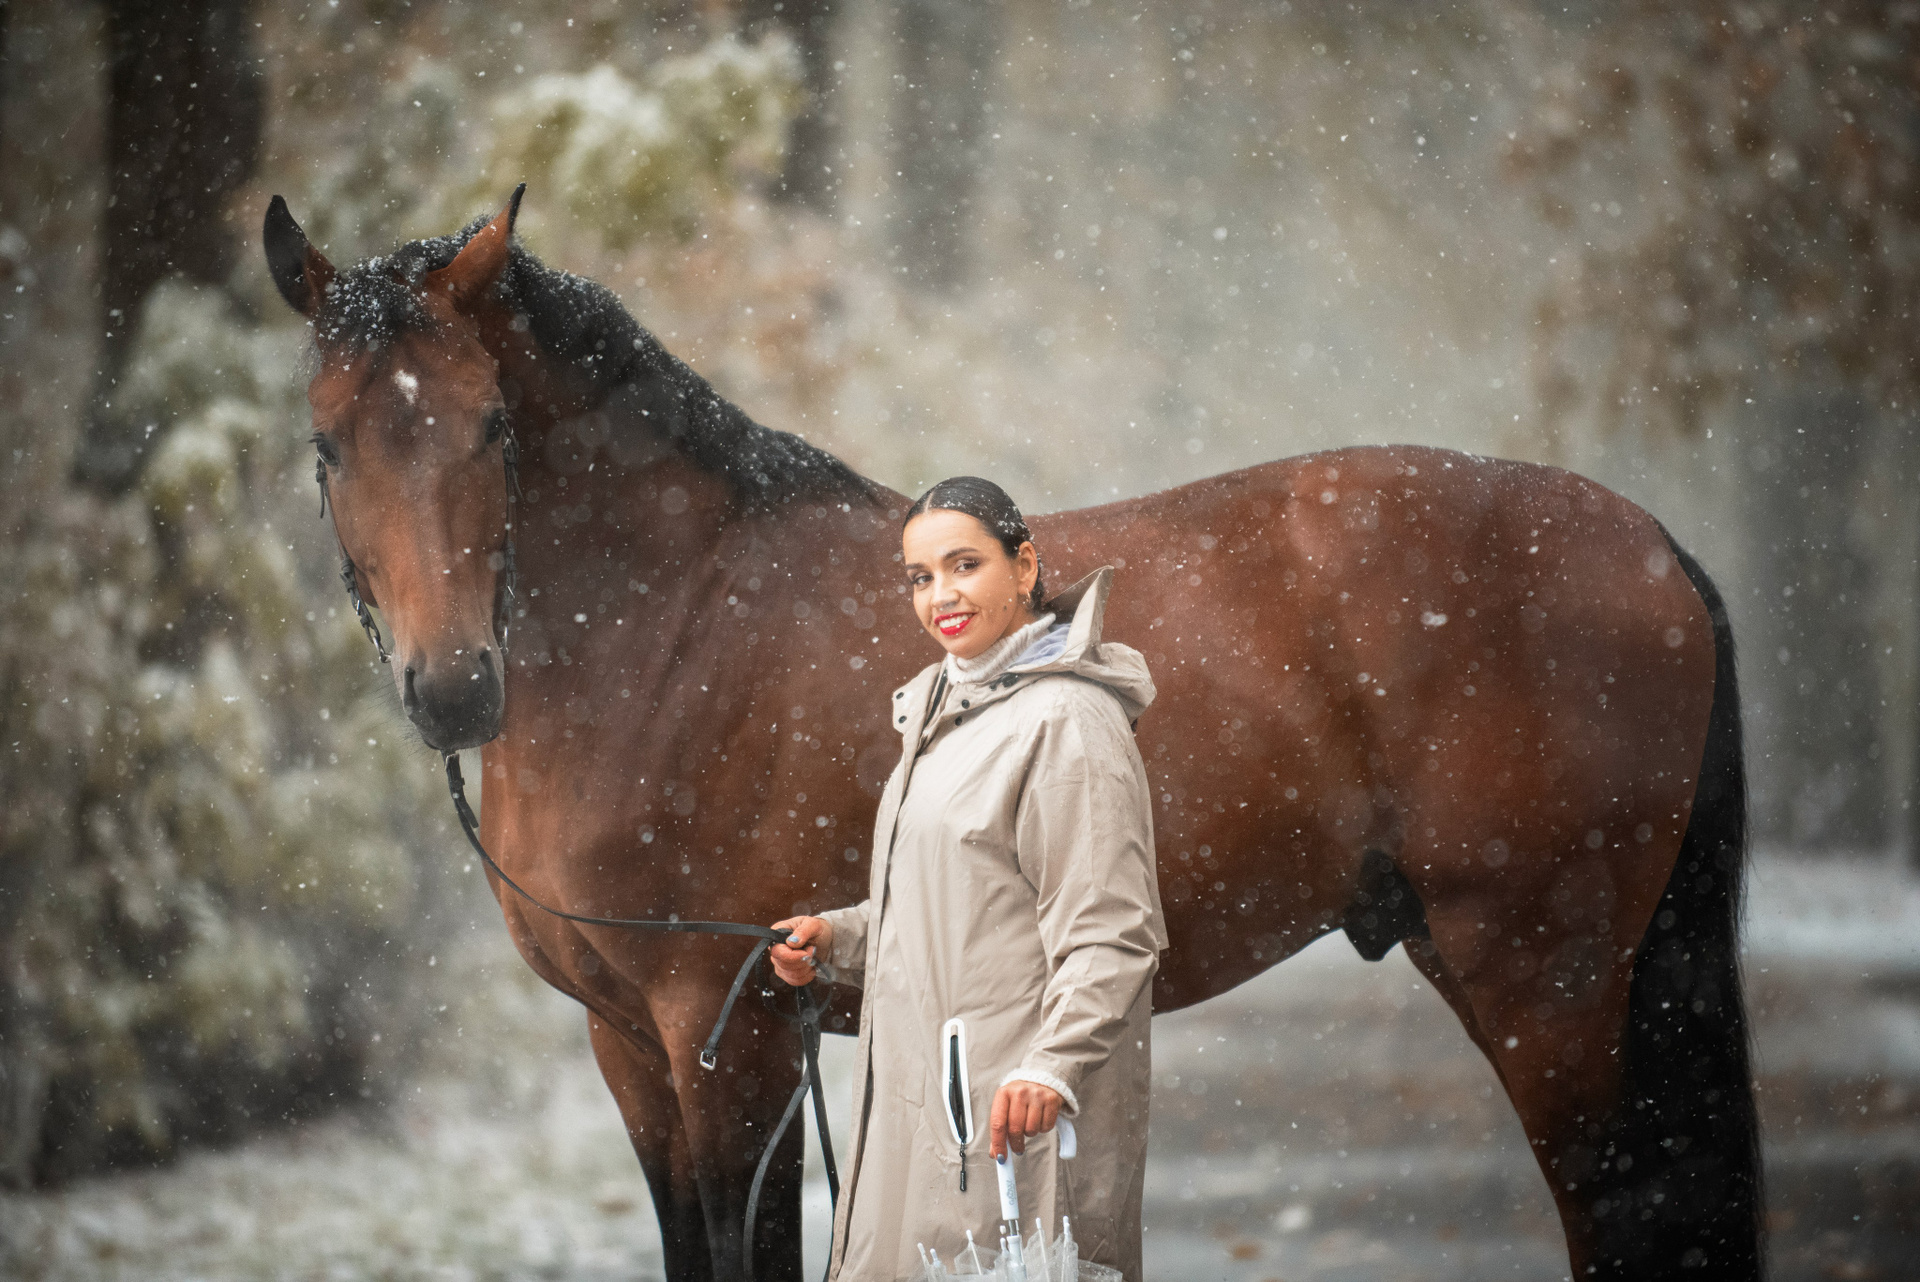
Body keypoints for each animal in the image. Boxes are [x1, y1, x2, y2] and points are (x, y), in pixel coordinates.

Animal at [262, 188, 1762, 1282]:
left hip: (1545, 981)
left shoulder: (728, 1042)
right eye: (328, 444)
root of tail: (1650, 545)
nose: (454, 689)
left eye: (492, 426)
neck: (678, 624)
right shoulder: (631, 1049)